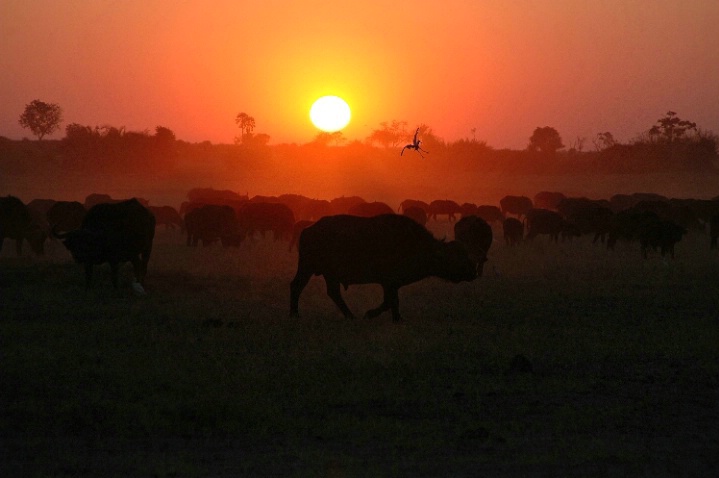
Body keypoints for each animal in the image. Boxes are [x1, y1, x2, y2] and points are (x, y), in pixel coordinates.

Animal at [290, 216, 476, 322]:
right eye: (453, 258)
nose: (472, 272)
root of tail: (307, 231)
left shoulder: (391, 285)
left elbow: (392, 302)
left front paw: (397, 318)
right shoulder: (389, 283)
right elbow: (389, 302)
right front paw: (371, 314)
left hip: (329, 275)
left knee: (333, 293)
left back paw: (350, 316)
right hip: (307, 268)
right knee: (296, 286)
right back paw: (295, 315)